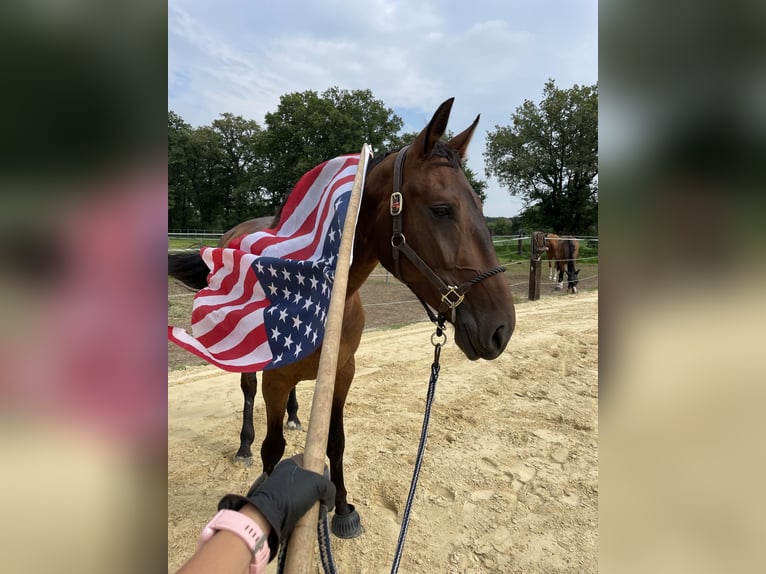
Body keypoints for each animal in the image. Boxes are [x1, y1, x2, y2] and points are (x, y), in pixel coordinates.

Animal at [167, 99, 516, 540]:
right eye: (442, 209)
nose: (501, 328)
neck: (329, 300)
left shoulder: (342, 372)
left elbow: (335, 442)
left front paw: (344, 507)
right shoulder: (274, 379)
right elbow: (272, 448)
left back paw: (296, 417)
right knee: (247, 393)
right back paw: (244, 446)